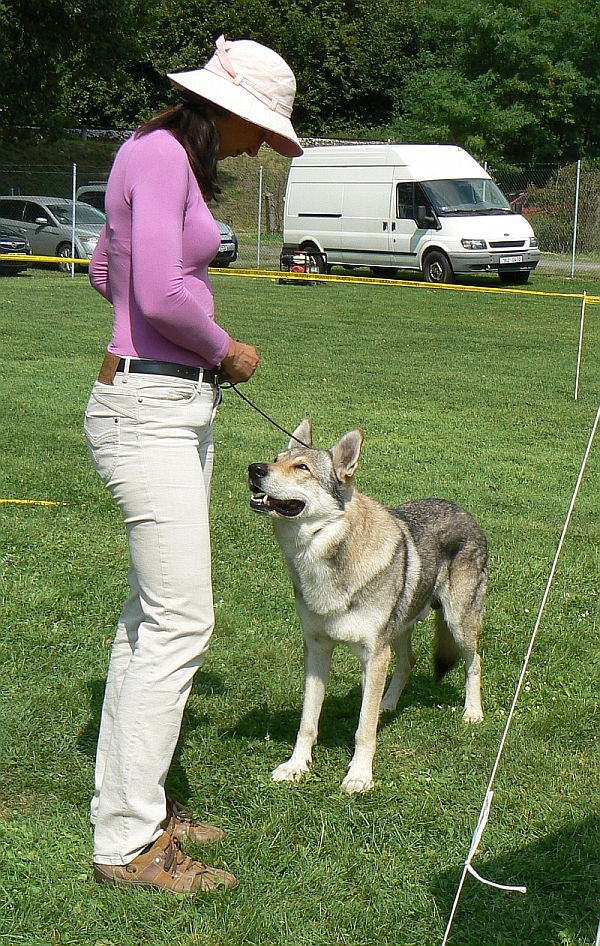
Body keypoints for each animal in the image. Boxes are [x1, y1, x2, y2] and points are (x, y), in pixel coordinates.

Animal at [248, 420, 488, 788]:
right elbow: (308, 722)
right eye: (277, 459)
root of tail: (465, 511)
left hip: (458, 625)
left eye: (302, 468)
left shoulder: (374, 654)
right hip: (400, 630)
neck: (319, 554)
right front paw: (296, 766)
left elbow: (364, 729)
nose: (254, 469)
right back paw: (387, 704)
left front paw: (360, 776)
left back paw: (472, 712)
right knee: (408, 663)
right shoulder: (317, 649)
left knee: (474, 662)